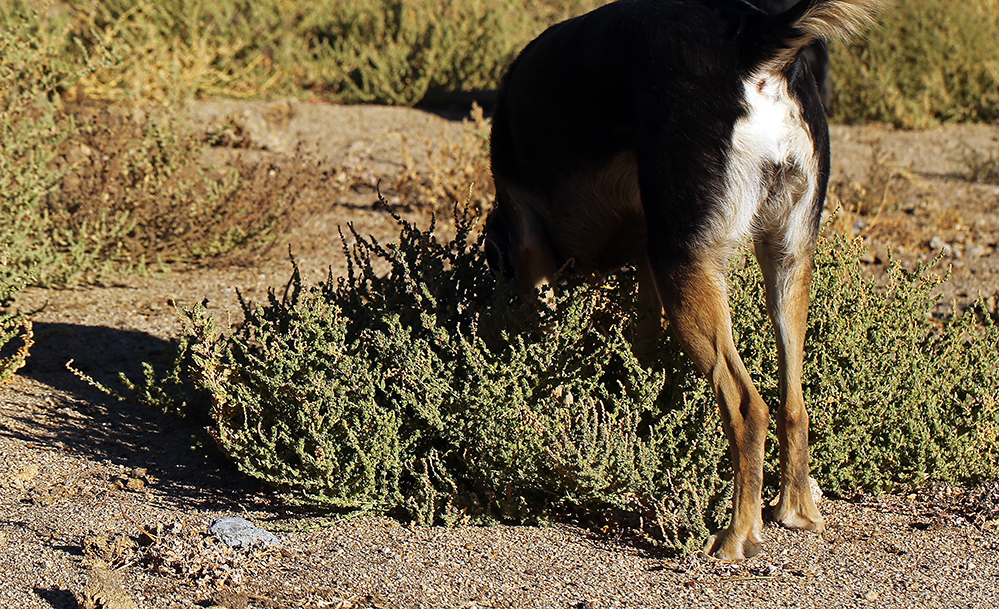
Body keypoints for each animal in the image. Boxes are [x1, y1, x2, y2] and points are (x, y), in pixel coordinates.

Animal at [488, 0, 888, 560]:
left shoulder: (529, 244)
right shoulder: (650, 269)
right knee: (793, 404)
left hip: (688, 268)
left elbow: (545, 345)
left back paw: (737, 535)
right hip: (784, 260)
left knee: (747, 407)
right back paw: (794, 511)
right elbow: (645, 349)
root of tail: (752, 37)